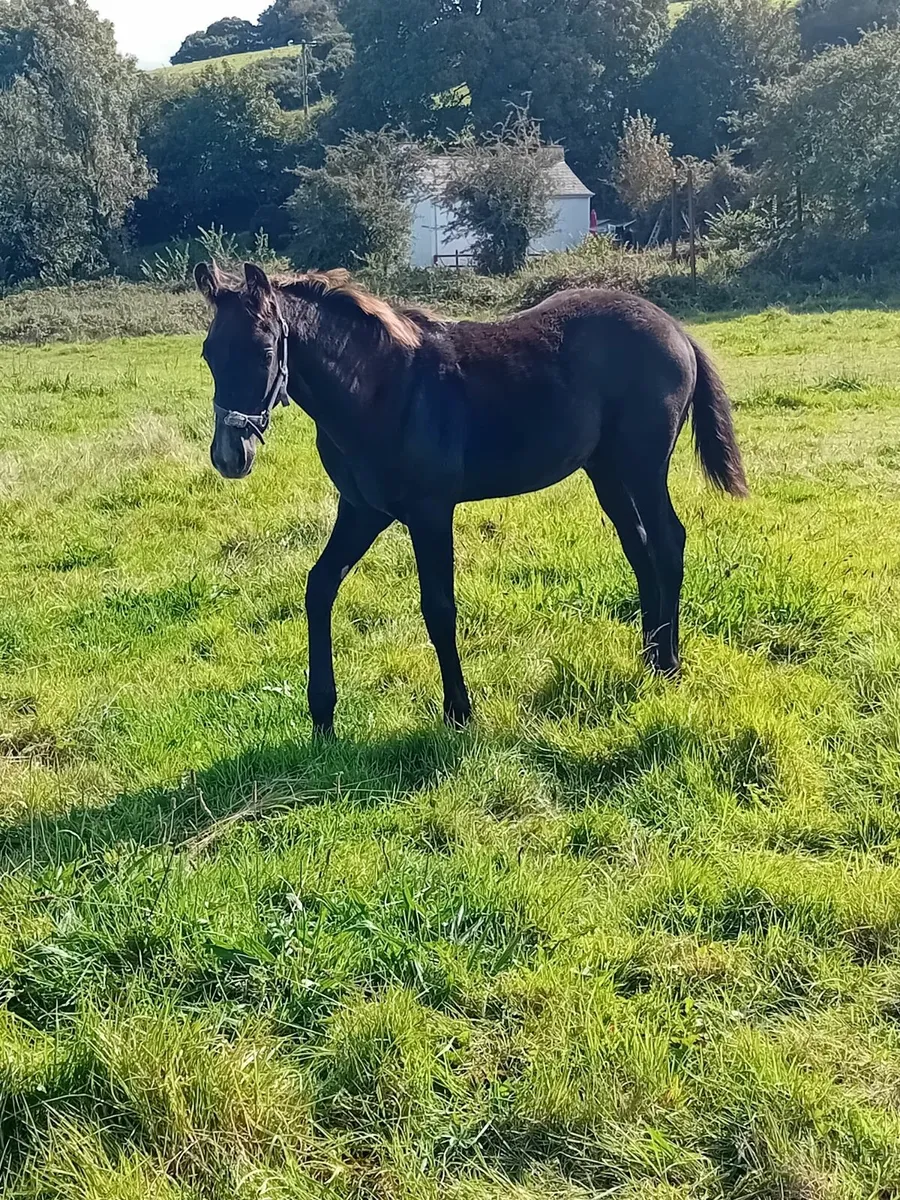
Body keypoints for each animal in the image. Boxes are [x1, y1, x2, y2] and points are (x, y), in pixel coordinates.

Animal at [195, 261, 747, 736]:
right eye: (208, 353)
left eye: (266, 351)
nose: (230, 454)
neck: (380, 389)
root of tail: (677, 330)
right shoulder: (363, 510)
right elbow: (319, 586)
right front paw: (322, 716)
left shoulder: (429, 512)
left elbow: (439, 608)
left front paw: (459, 712)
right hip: (607, 471)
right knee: (639, 547)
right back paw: (651, 654)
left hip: (643, 465)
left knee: (668, 541)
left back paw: (669, 663)